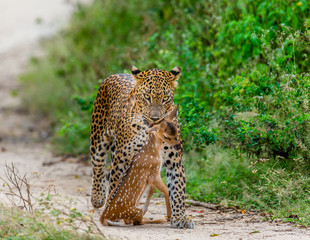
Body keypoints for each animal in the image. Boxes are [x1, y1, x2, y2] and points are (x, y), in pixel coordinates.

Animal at [89, 64, 195, 229]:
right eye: (147, 97)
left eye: (165, 98)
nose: (155, 118)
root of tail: (116, 74)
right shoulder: (122, 159)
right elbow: (116, 185)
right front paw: (113, 210)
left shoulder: (174, 161)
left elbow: (178, 189)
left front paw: (180, 218)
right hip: (98, 138)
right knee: (98, 166)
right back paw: (98, 197)